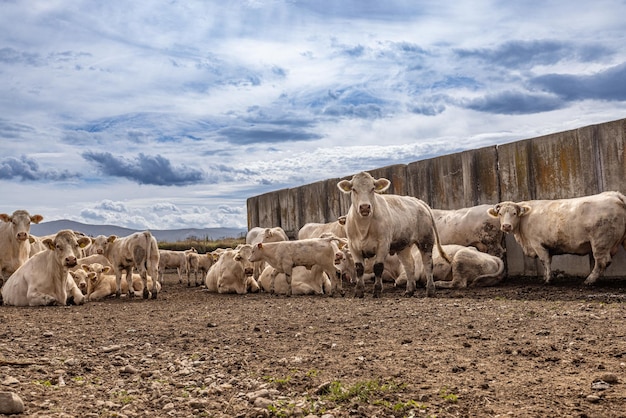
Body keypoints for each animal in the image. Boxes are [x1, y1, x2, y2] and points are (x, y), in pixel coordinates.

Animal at [488, 192, 624, 284]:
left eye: (514, 213)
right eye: (500, 214)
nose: (506, 226)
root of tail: (615, 195)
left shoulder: (537, 244)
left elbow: (545, 261)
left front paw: (548, 279)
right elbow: (548, 260)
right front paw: (546, 277)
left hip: (600, 242)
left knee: (601, 262)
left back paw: (589, 280)